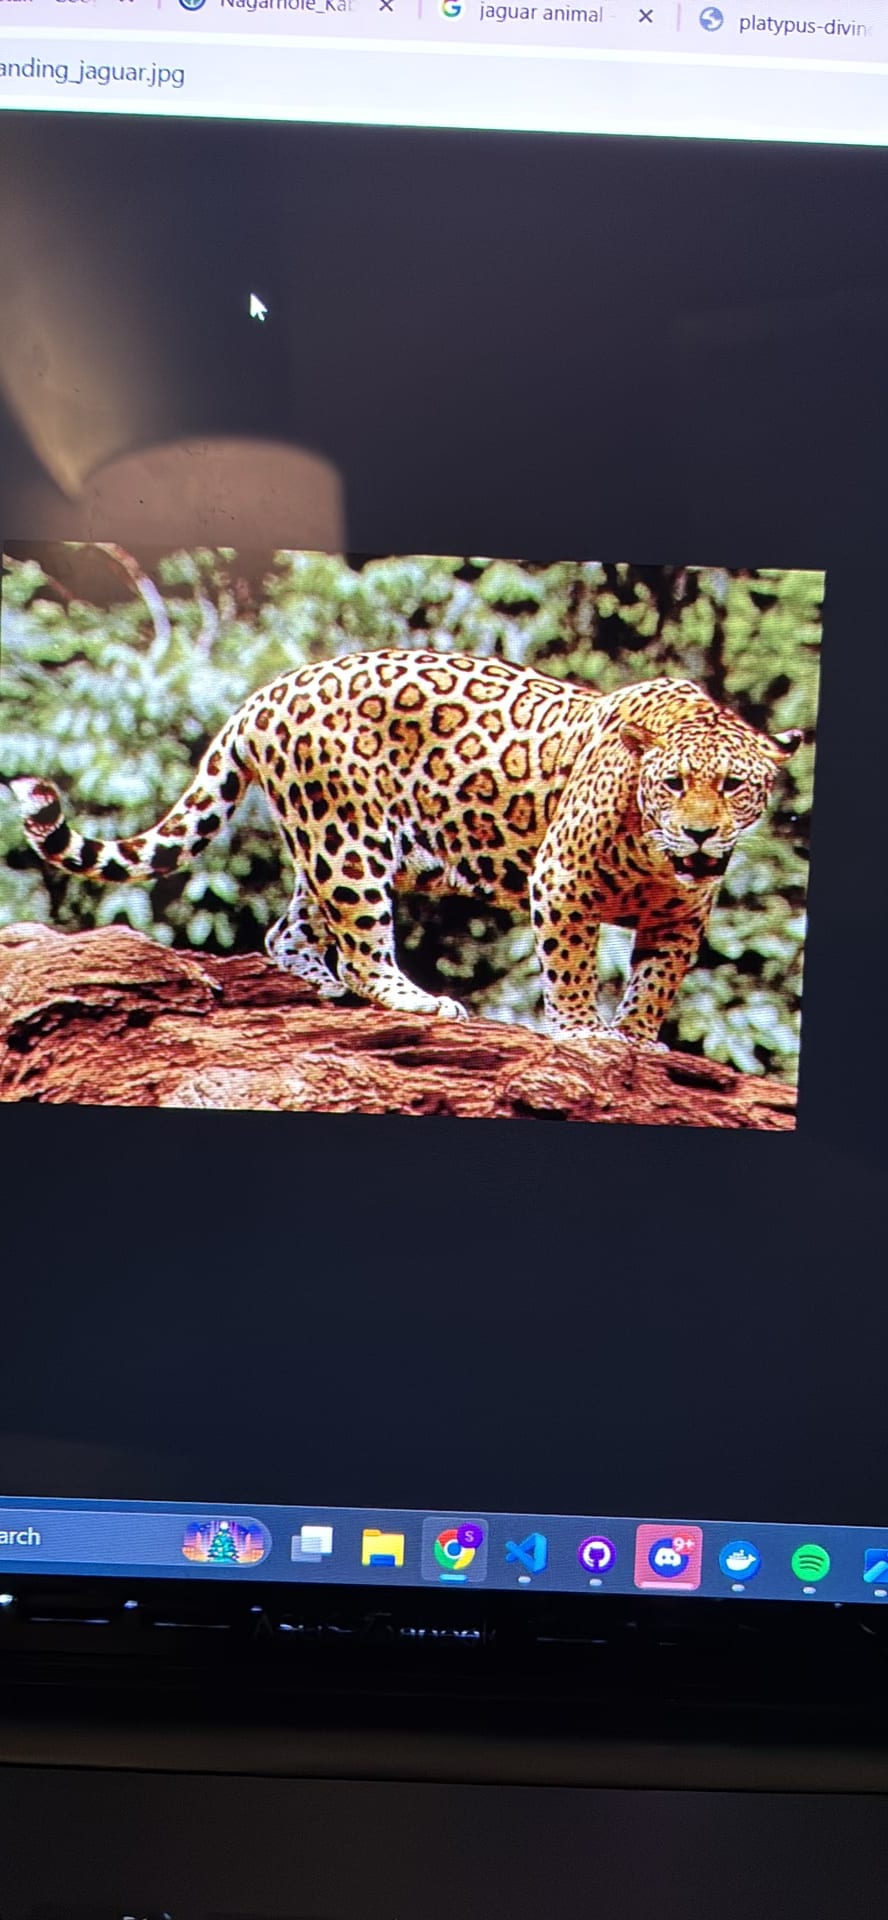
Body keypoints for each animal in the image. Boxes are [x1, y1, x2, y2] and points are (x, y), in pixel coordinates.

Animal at [9, 649, 801, 1047]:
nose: (699, 831)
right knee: (362, 946)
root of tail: (268, 692)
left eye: (733, 786)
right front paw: (584, 1032)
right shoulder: (562, 881)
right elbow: (572, 966)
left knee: (289, 927)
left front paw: (636, 1037)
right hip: (349, 840)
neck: (657, 855)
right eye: (672, 784)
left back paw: (321, 983)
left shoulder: (681, 917)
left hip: (335, 843)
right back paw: (417, 1001)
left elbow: (658, 980)